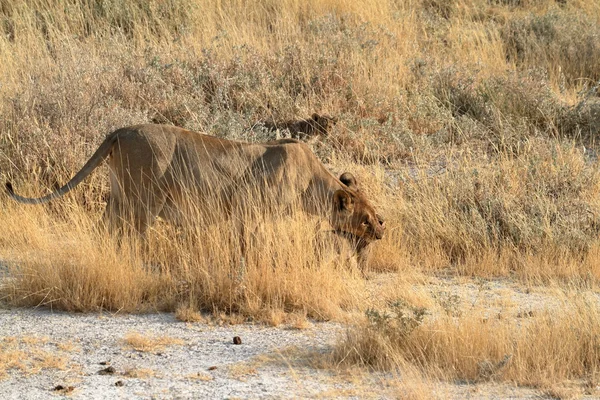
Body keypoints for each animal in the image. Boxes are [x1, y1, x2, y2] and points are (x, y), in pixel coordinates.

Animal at [7, 123, 384, 245]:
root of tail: (121, 130)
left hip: (118, 196)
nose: (383, 229)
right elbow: (252, 243)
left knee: (103, 231)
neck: (312, 181)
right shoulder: (251, 209)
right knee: (131, 237)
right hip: (144, 200)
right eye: (366, 219)